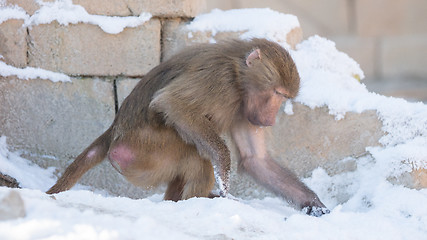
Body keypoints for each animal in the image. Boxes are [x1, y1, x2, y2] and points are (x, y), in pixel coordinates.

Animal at [46, 39, 328, 216]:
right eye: (277, 93)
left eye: (283, 96)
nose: (270, 120)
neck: (238, 77)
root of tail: (114, 132)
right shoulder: (219, 80)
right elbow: (171, 103)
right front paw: (224, 176)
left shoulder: (245, 111)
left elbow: (255, 160)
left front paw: (316, 206)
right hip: (142, 154)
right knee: (194, 154)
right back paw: (194, 202)